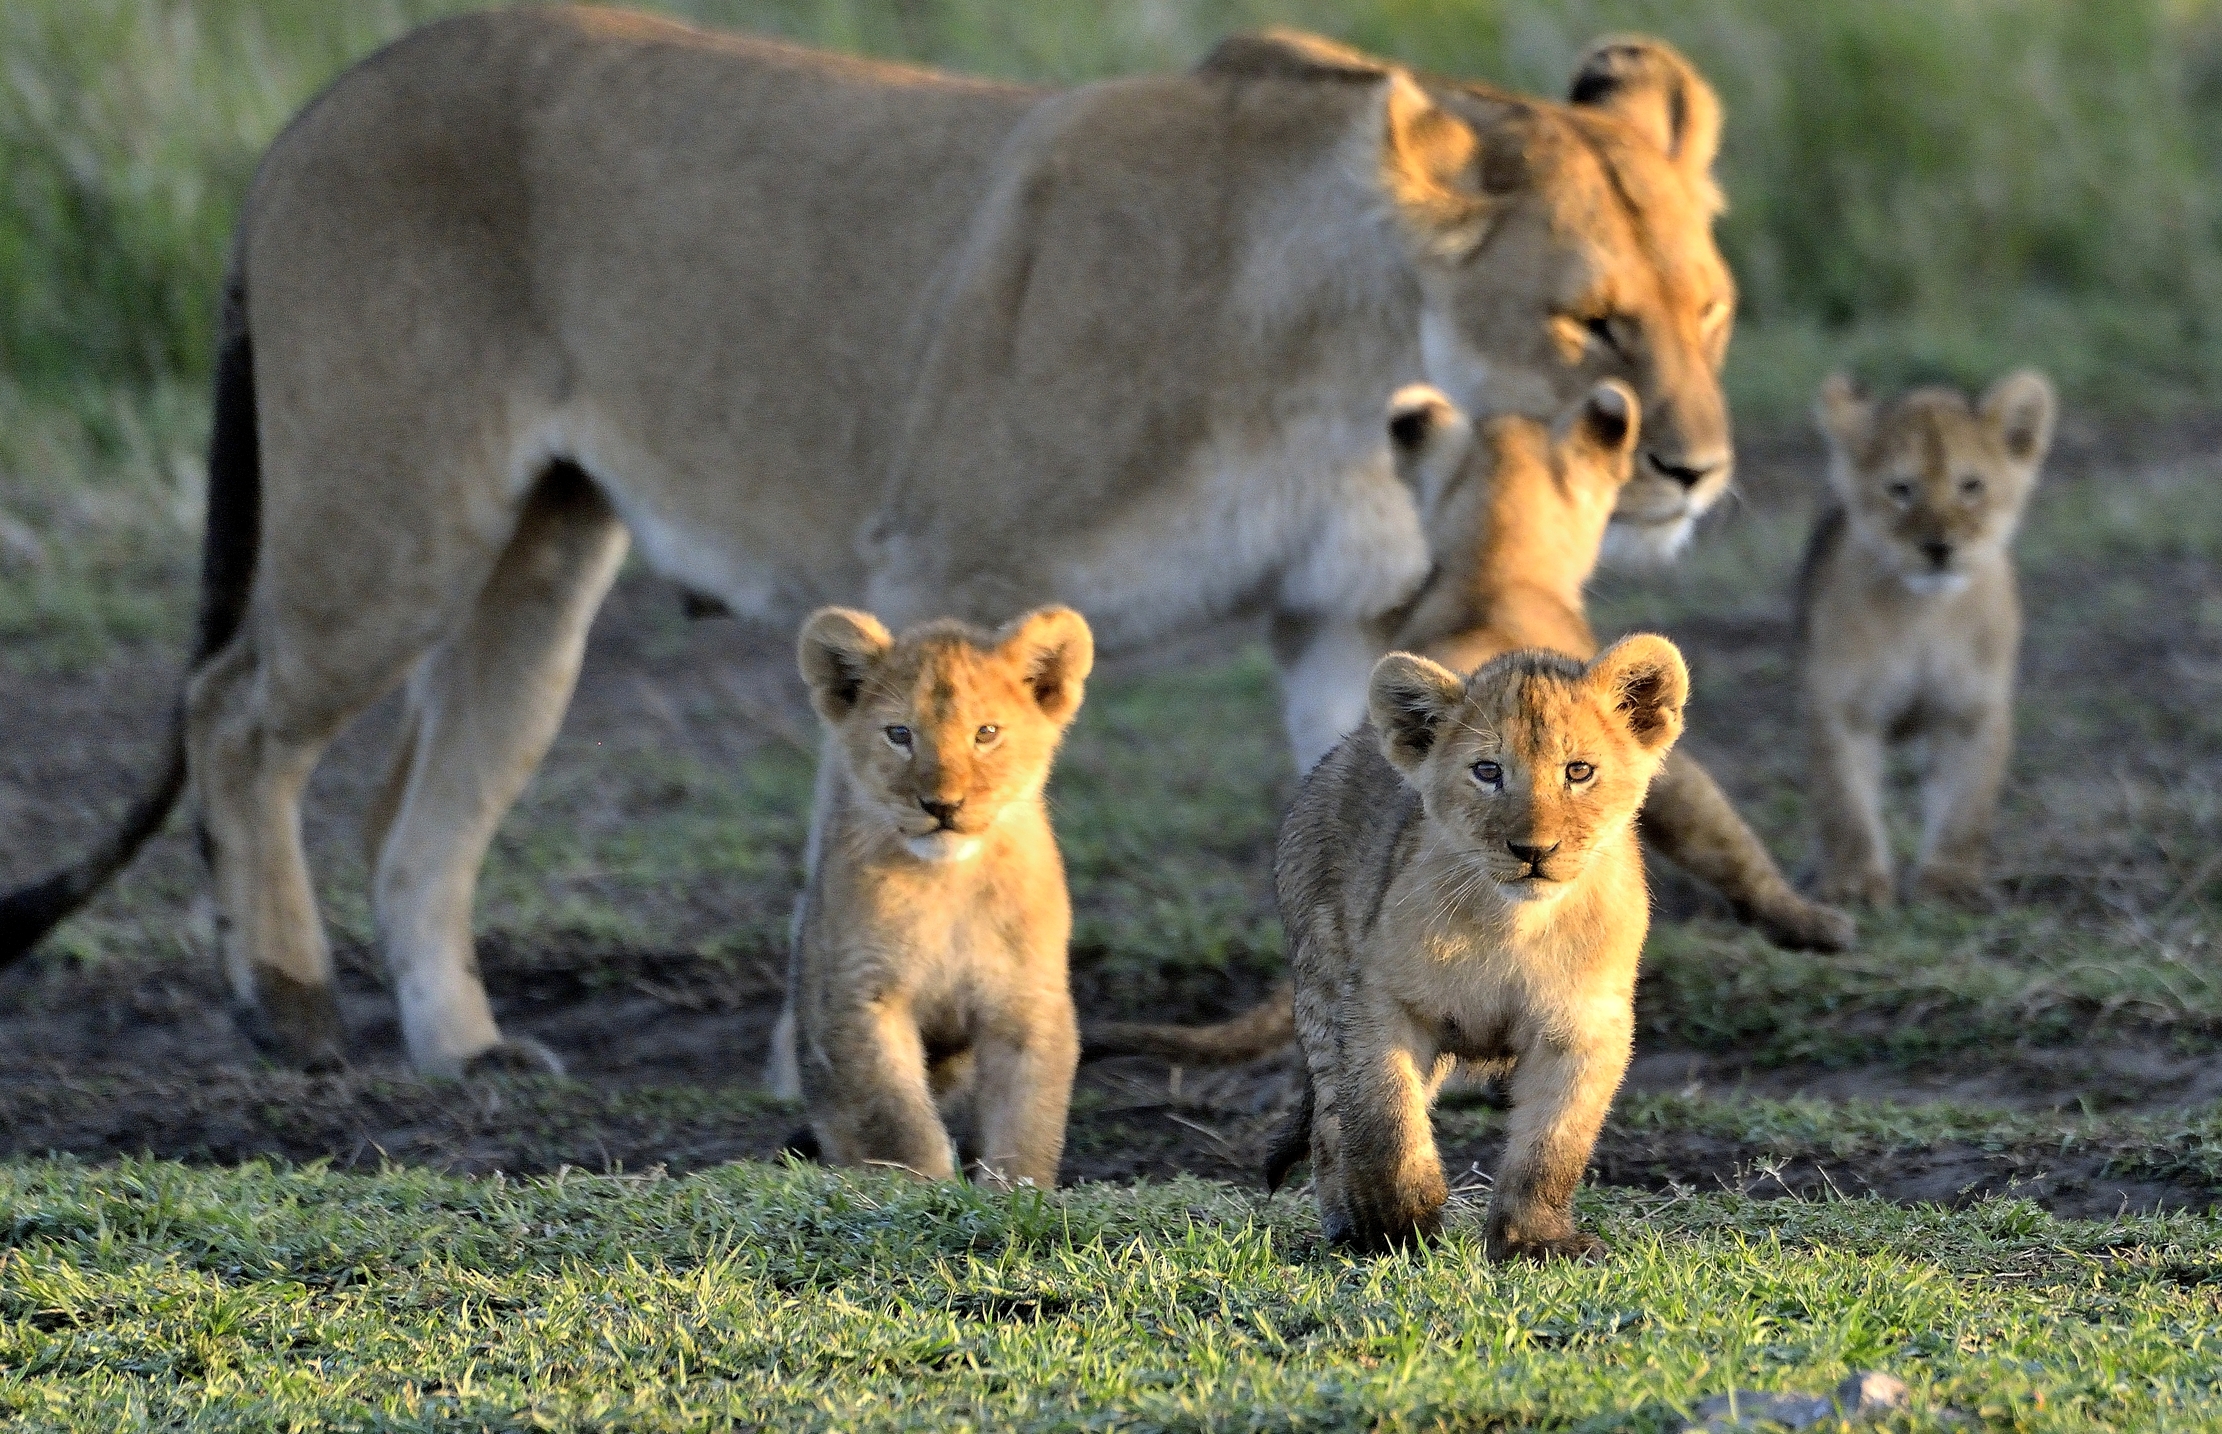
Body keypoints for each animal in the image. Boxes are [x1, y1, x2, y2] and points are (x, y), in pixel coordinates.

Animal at [0, 10, 1839, 1075]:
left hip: (542, 554)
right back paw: (291, 1008)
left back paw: (463, 1052)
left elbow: (1360, 819)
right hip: (397, 511)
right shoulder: (944, 565)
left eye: (1709, 309)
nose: (1694, 468)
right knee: (236, 710)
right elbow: (876, 842)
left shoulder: (1337, 615)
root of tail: (308, 112)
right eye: (1590, 322)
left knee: (421, 801)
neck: (1339, 338)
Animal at [764, 605, 1091, 1187]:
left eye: (986, 733)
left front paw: (1013, 1191)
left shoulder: (1026, 997)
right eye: (900, 734)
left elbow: (1026, 1118)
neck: (948, 882)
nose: (942, 805)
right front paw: (924, 1188)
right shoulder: (862, 994)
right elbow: (896, 1118)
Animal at [1266, 635, 1687, 1256]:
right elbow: (1385, 1116)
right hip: (1322, 987)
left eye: (1579, 771)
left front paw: (1534, 1242)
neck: (1513, 925)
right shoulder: (1379, 1001)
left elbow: (1552, 1143)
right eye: (1488, 771)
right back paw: (1346, 1228)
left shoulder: (1583, 1028)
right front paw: (1399, 1225)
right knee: (1330, 1121)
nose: (1533, 850)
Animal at [1800, 371, 2056, 907]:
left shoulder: (1971, 710)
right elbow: (1844, 803)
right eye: (1901, 489)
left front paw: (1948, 881)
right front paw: (1855, 883)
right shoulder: (1841, 706)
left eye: (1971, 485)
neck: (1924, 614)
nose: (1938, 548)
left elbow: (1965, 804)